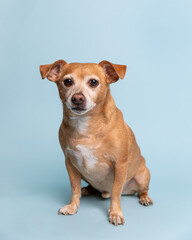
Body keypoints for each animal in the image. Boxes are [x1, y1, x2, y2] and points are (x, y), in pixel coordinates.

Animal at [39, 59, 153, 226]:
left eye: (93, 82)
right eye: (67, 81)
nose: (77, 98)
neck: (86, 125)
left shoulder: (120, 165)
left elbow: (116, 193)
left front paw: (115, 213)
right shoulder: (70, 163)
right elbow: (74, 188)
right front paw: (73, 206)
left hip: (143, 176)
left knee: (141, 190)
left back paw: (145, 198)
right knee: (89, 186)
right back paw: (87, 189)